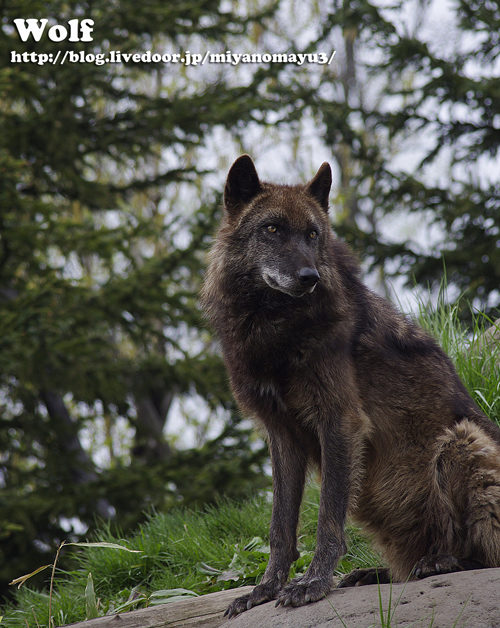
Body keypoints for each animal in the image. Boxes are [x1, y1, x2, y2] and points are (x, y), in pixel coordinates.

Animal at [200, 155, 500, 616]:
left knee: (483, 556)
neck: (274, 330)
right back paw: (379, 573)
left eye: (312, 234)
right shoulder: (281, 434)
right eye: (272, 229)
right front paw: (264, 589)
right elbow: (279, 528)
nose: (308, 276)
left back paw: (442, 562)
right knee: (405, 567)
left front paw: (314, 582)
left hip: (459, 441)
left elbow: (328, 518)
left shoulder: (339, 421)